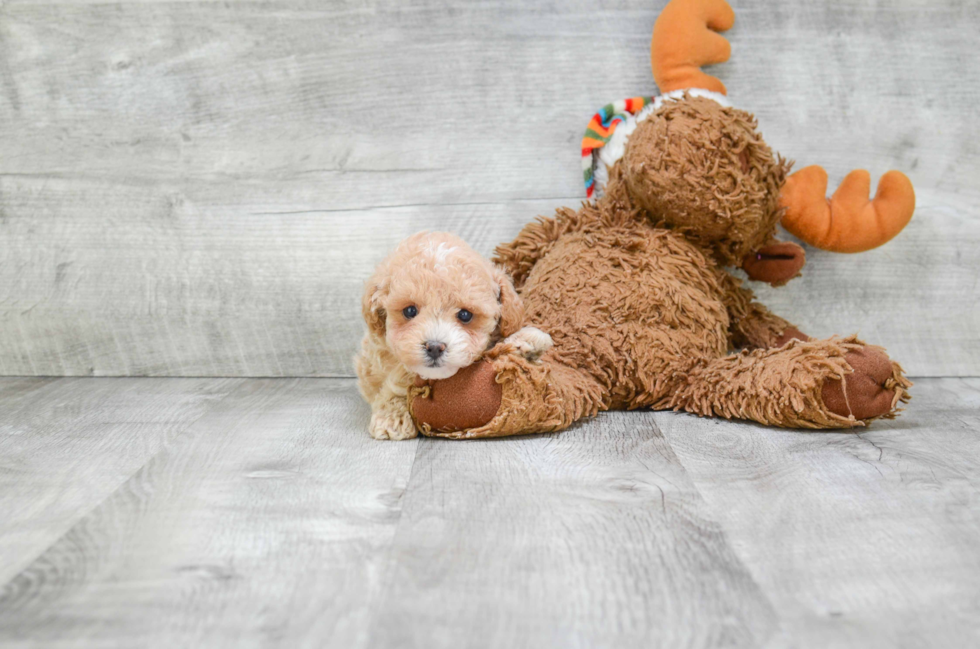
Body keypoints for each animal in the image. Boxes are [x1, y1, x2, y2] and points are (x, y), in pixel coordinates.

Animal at [356, 233, 552, 440]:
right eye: (409, 311)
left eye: (465, 315)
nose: (435, 347)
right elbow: (398, 379)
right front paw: (393, 417)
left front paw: (528, 340)